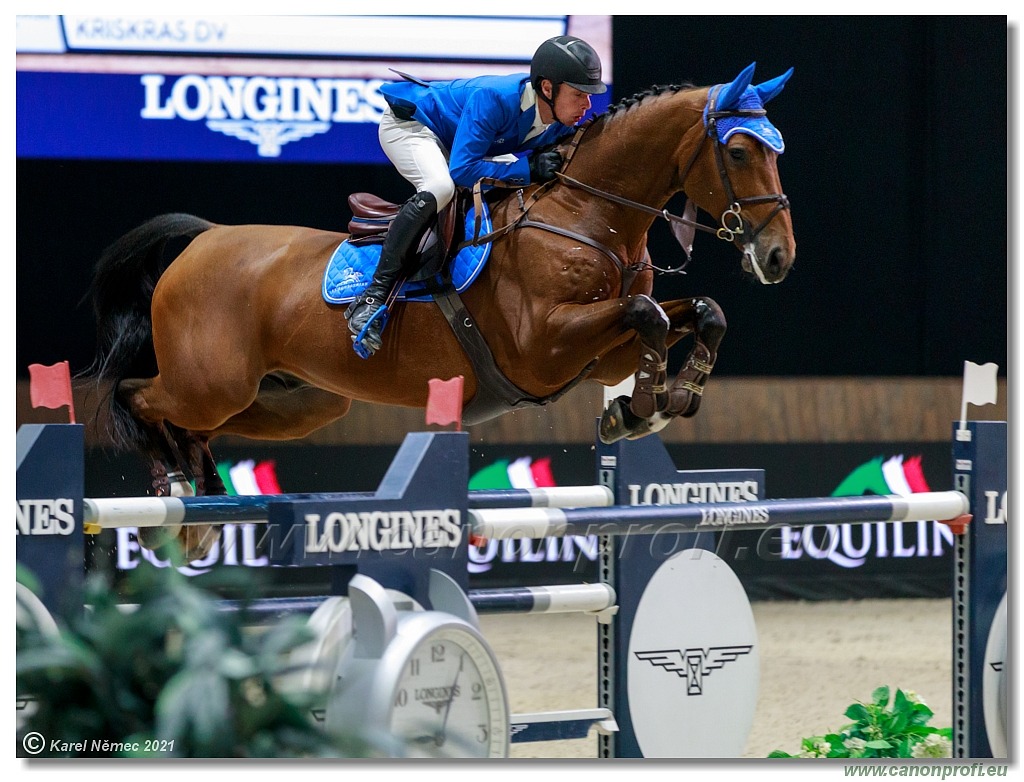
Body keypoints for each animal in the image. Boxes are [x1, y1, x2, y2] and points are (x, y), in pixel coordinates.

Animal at [83, 62, 794, 560]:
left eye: (775, 148)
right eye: (738, 152)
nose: (778, 257)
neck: (588, 215)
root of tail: (204, 239)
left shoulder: (599, 355)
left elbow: (699, 311)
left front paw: (668, 397)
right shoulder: (545, 347)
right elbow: (648, 312)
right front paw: (644, 407)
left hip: (296, 400)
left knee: (196, 423)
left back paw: (198, 505)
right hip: (214, 383)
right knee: (139, 395)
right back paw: (170, 494)